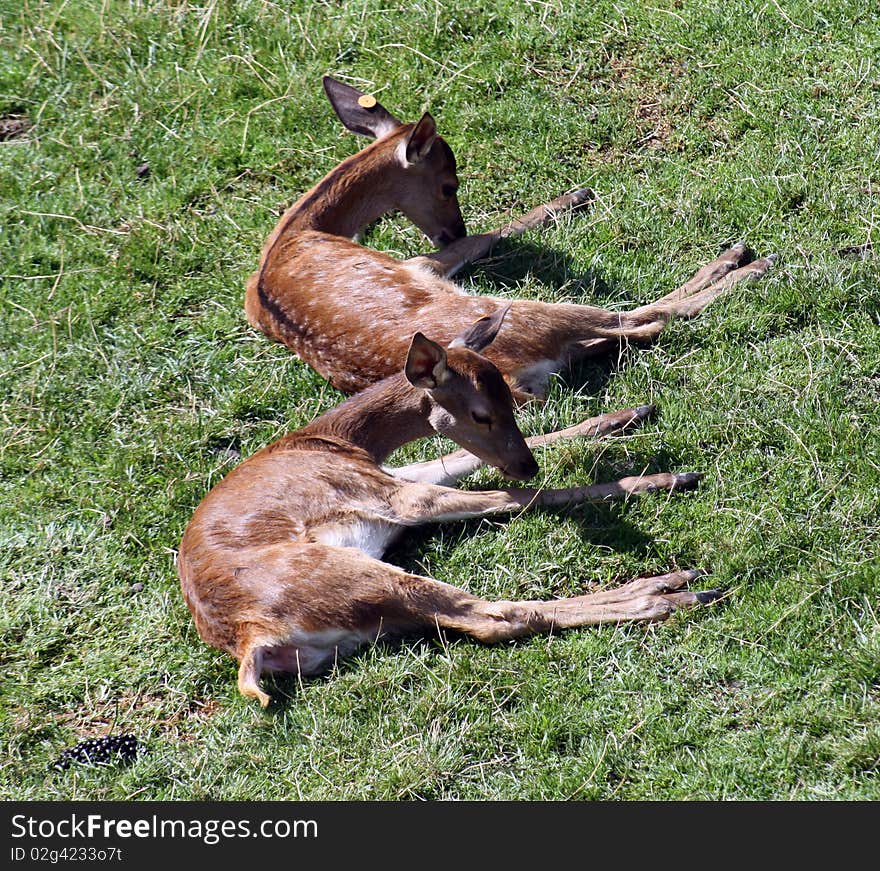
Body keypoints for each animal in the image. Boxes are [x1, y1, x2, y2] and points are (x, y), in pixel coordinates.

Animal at [177, 316, 716, 708]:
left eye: (512, 398)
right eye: (481, 412)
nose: (526, 465)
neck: (337, 440)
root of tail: (252, 639)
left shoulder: (400, 472)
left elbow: (457, 460)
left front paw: (628, 415)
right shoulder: (382, 494)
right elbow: (512, 497)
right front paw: (663, 478)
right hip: (343, 572)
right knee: (495, 615)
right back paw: (673, 590)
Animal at [244, 74, 772, 402]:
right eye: (449, 182)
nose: (449, 228)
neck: (304, 228)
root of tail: (517, 381)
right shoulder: (417, 264)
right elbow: (485, 236)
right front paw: (575, 196)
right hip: (529, 313)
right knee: (646, 317)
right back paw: (746, 260)